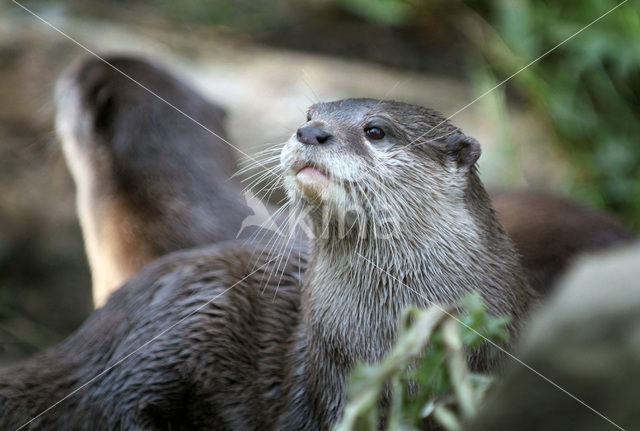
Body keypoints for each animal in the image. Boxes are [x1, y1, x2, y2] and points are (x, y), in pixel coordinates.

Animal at [0, 98, 536, 431]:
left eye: (376, 130)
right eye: (310, 113)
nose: (310, 132)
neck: (386, 331)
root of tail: (94, 332)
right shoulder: (330, 381)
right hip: (177, 331)